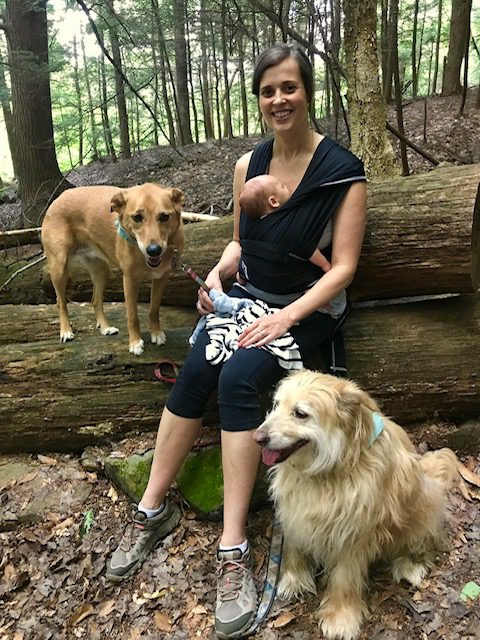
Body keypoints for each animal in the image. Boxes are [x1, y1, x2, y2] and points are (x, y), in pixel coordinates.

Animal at [41, 182, 185, 356]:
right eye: (137, 217)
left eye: (164, 216)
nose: (154, 250)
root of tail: (59, 198)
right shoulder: (129, 280)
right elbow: (132, 316)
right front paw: (135, 343)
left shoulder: (161, 277)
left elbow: (153, 309)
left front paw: (156, 333)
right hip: (59, 267)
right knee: (60, 302)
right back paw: (66, 331)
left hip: (101, 271)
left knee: (95, 300)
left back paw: (105, 328)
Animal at [255, 370, 458, 640]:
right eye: (277, 404)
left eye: (300, 413)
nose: (258, 438)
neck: (326, 471)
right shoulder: (294, 512)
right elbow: (295, 546)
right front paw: (293, 578)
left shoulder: (353, 533)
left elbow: (344, 577)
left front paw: (341, 617)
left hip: (422, 500)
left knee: (425, 541)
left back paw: (411, 564)